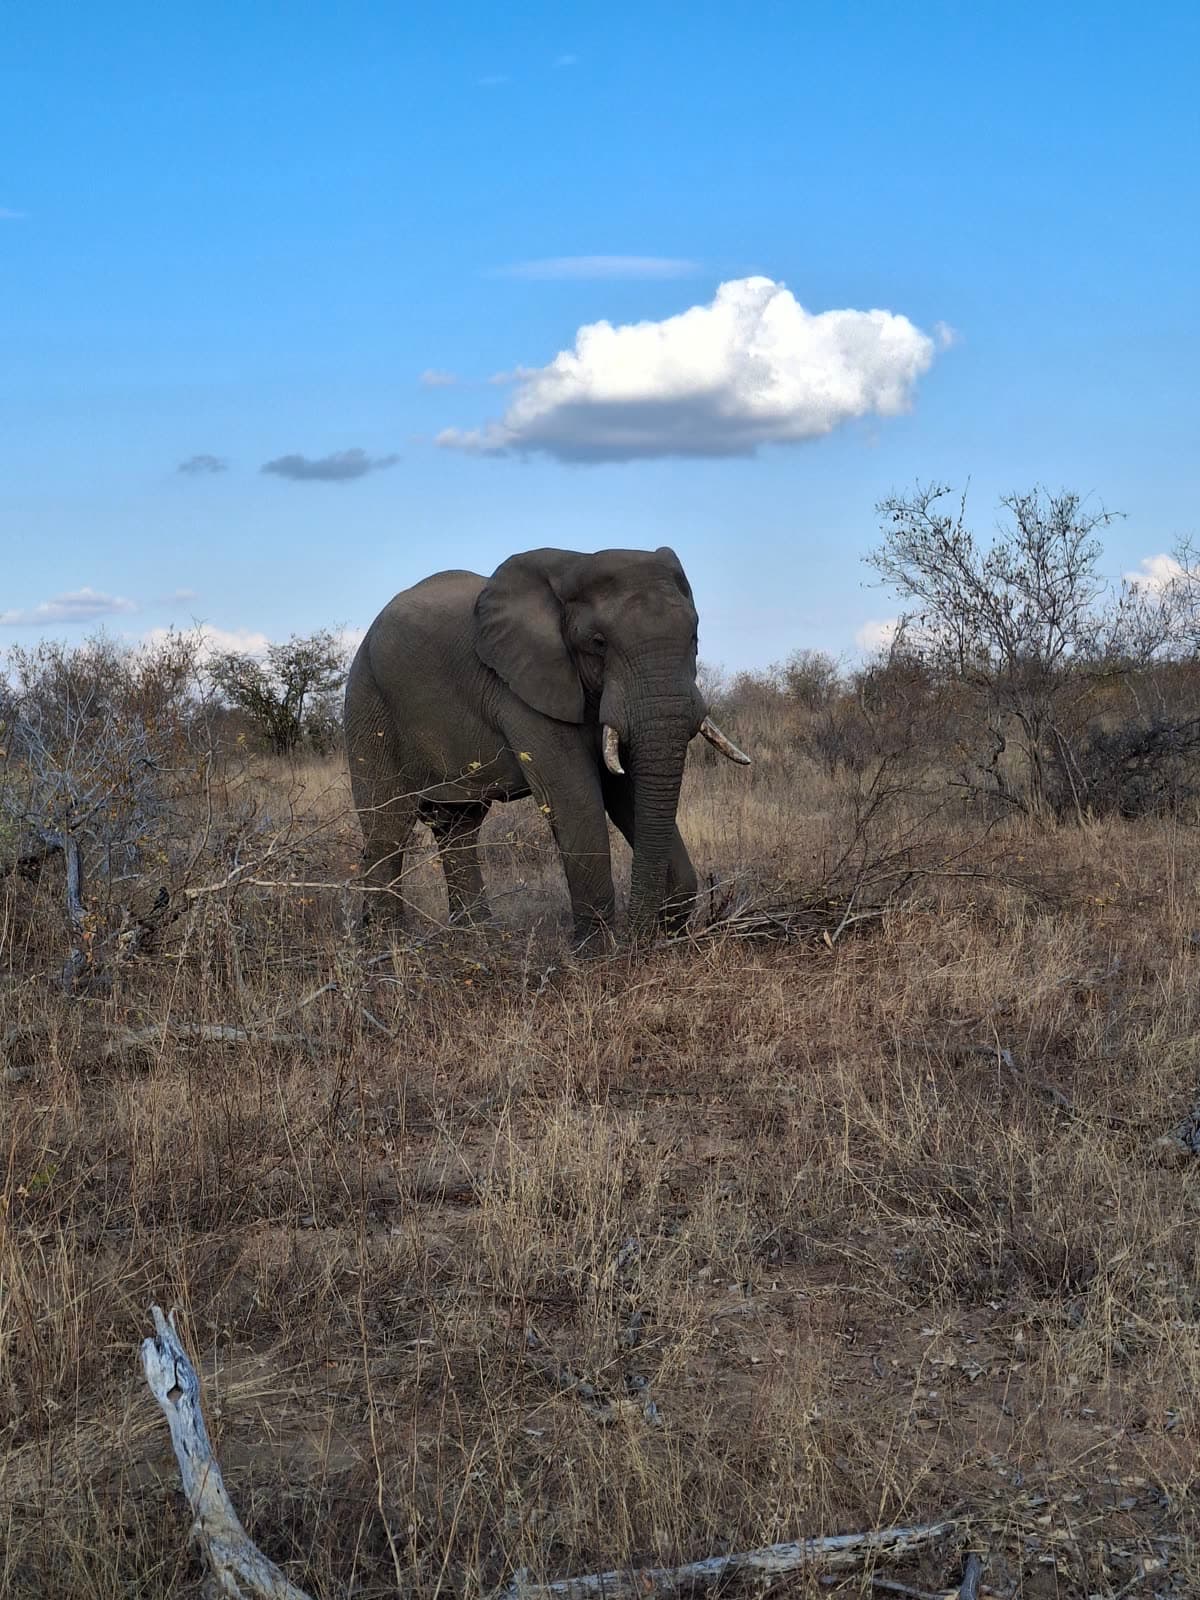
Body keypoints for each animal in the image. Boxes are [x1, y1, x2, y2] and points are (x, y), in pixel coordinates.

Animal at [344, 546, 750, 946]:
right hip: (368, 703)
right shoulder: (520, 689)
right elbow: (575, 795)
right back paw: (389, 945)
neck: (575, 562)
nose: (646, 937)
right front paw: (596, 954)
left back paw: (478, 942)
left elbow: (626, 790)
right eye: (599, 644)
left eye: (694, 637)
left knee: (458, 825)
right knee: (387, 829)